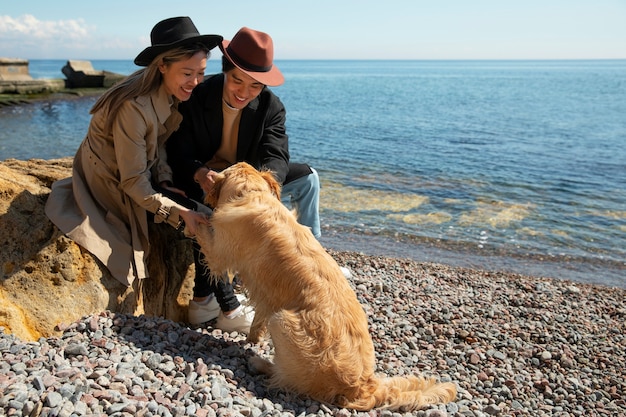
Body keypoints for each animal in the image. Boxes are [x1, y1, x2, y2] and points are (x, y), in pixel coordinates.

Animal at [194, 162, 454, 410]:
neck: (252, 193)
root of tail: (363, 387)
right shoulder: (266, 292)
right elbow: (258, 319)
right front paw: (252, 338)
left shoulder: (219, 253)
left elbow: (201, 231)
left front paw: (189, 215)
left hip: (282, 321)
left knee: (288, 379)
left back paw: (260, 363)